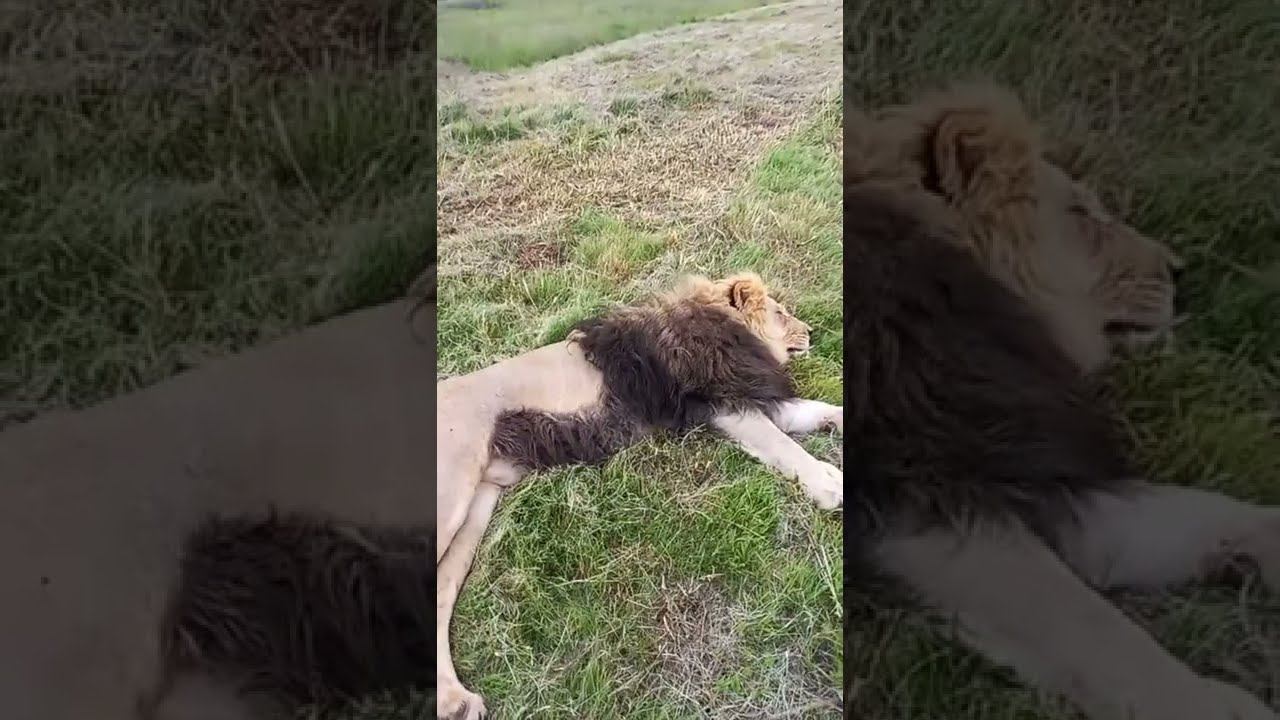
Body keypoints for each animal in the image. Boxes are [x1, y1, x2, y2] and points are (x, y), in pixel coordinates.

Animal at [435, 272, 844, 720]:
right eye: (780, 312)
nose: (812, 332)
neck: (725, 330)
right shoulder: (723, 405)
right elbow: (784, 447)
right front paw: (831, 484)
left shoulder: (748, 395)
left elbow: (817, 409)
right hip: (450, 495)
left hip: (477, 508)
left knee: (439, 592)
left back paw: (455, 701)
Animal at [846, 83, 1280, 720]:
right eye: (1080, 215)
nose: (1181, 271)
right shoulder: (921, 491)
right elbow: (1090, 625)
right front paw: (1218, 706)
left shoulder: (1010, 465)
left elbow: (1202, 513)